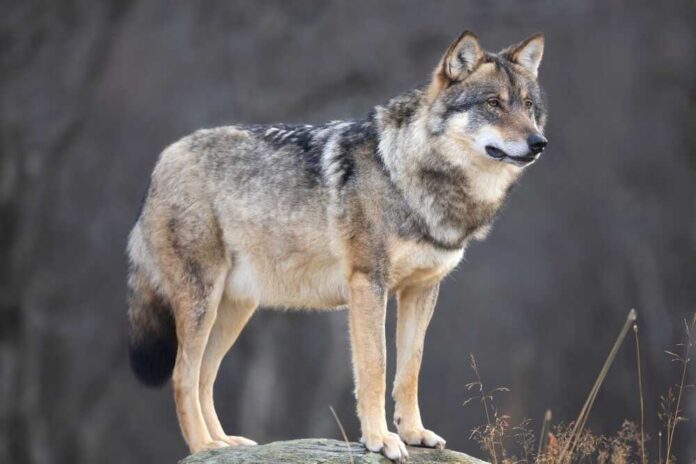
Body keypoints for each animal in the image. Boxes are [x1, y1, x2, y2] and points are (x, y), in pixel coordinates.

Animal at [127, 31, 547, 462]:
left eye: (529, 106)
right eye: (493, 103)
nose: (539, 143)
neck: (407, 174)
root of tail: (164, 158)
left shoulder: (422, 290)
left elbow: (409, 369)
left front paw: (414, 434)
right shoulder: (368, 285)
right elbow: (376, 368)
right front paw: (381, 440)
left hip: (235, 310)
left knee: (204, 377)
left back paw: (224, 444)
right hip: (203, 303)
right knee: (182, 376)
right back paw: (202, 446)